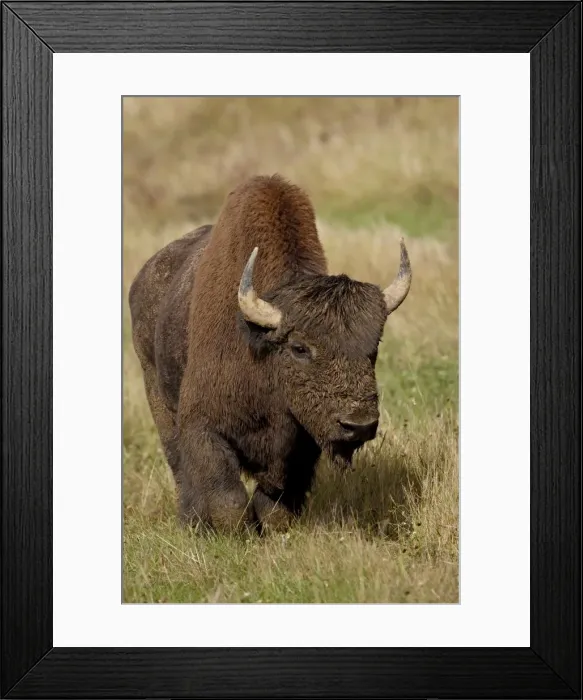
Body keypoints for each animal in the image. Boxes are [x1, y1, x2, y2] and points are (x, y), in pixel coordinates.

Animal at [129, 175, 411, 532]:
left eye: (373, 347)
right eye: (299, 348)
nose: (358, 425)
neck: (262, 351)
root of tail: (143, 278)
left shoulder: (302, 446)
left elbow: (277, 502)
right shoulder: (203, 427)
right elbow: (227, 498)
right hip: (156, 391)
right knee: (179, 466)